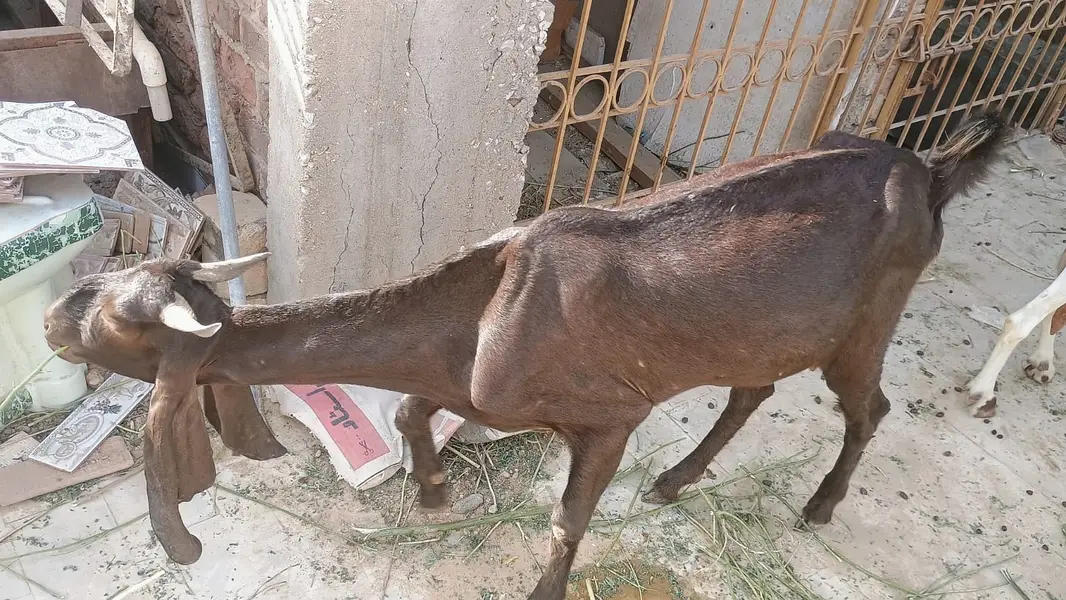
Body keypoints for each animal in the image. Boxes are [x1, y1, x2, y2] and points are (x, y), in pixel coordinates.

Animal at [42, 114, 1005, 600]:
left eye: (115, 320)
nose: (52, 317)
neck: (480, 314)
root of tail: (932, 172)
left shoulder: (611, 414)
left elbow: (565, 520)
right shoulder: (472, 386)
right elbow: (411, 410)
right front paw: (435, 493)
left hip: (870, 319)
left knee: (868, 406)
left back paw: (820, 505)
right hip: (762, 330)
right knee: (753, 389)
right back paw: (675, 482)